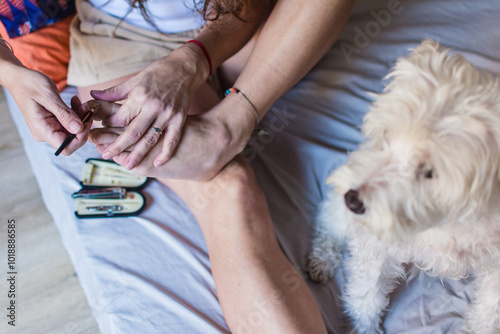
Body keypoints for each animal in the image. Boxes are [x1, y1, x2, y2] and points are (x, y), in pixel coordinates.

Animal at [306, 41, 498, 334]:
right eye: (387, 135)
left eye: (430, 172)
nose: (353, 200)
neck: (446, 222)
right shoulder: (376, 244)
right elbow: (367, 296)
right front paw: (365, 328)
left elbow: (488, 312)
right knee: (329, 219)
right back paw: (323, 258)